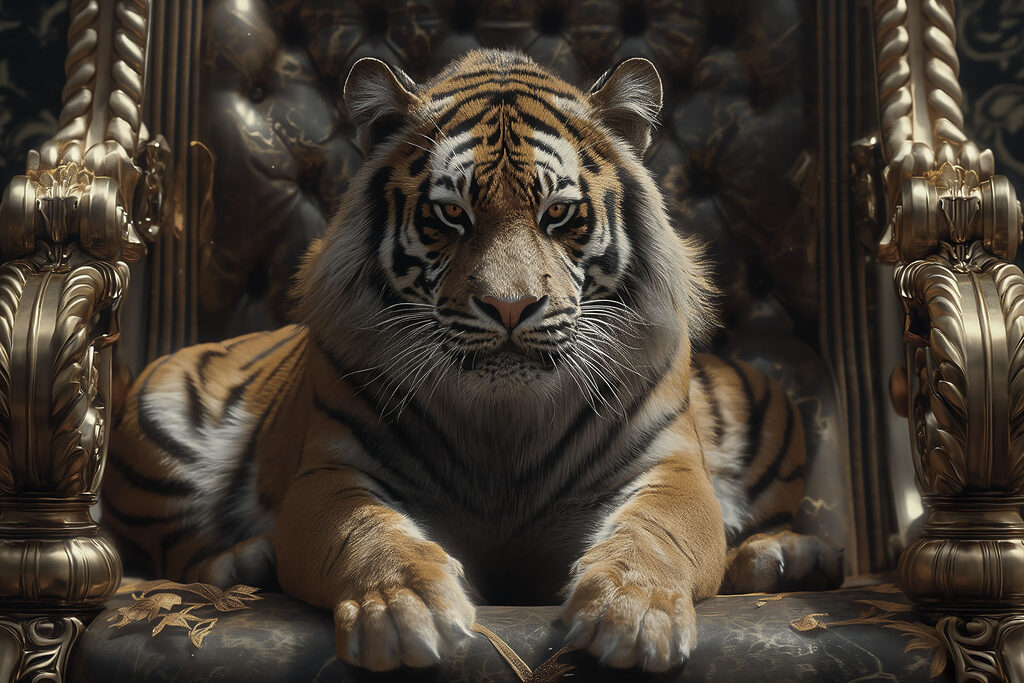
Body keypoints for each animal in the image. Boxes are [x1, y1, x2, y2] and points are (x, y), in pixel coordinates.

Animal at [103, 49, 842, 673]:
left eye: (559, 214)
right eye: (450, 216)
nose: (509, 307)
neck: (504, 421)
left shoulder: (670, 467)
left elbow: (657, 534)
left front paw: (633, 613)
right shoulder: (331, 472)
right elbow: (366, 533)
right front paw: (405, 609)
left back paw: (785, 558)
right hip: (156, 416)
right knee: (183, 552)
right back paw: (250, 560)